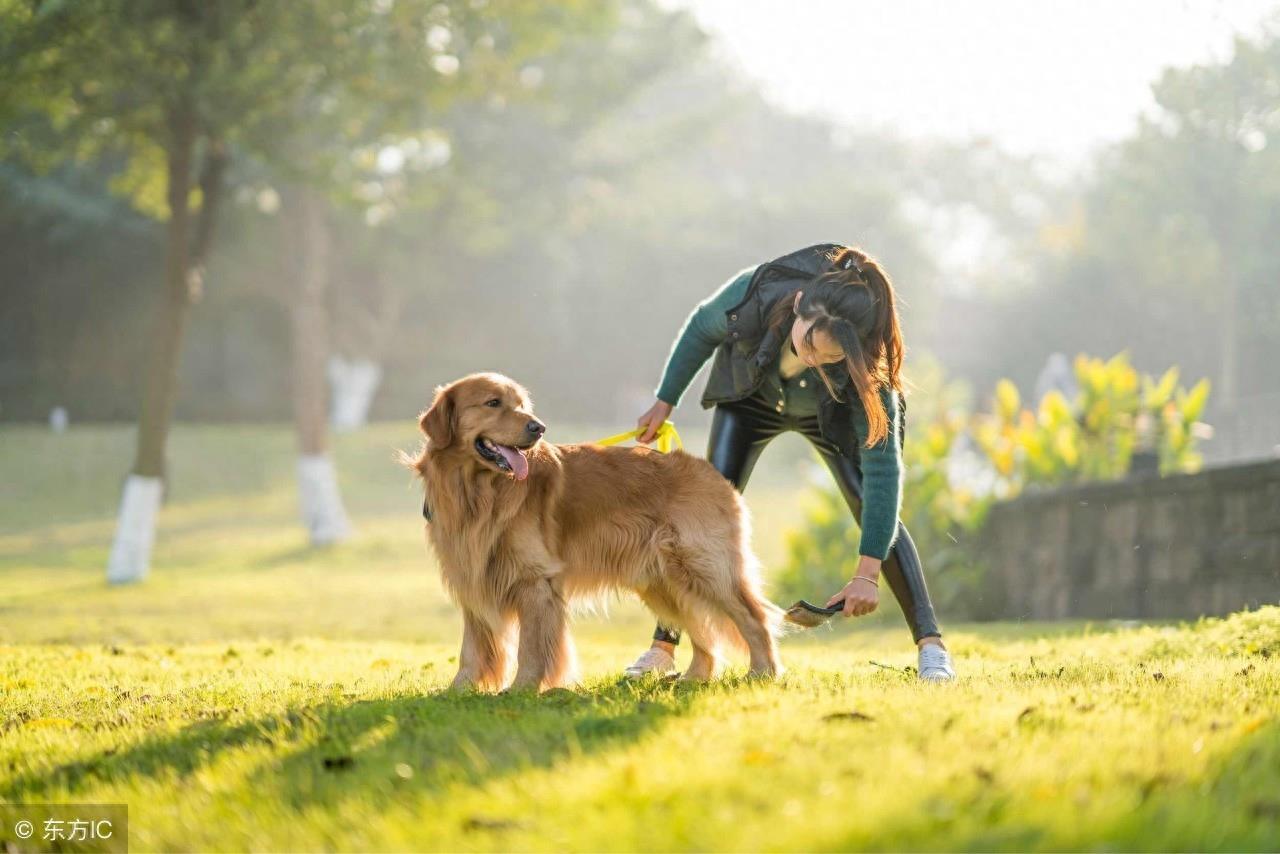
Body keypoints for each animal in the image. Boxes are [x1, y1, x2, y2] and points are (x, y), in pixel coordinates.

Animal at [404, 371, 783, 691]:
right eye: (493, 402)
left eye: (522, 405)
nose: (538, 427)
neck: (478, 492)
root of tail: (713, 473)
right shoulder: (472, 573)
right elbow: (472, 647)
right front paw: (458, 690)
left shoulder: (535, 580)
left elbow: (531, 646)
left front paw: (523, 689)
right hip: (665, 582)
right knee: (703, 631)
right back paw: (694, 677)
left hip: (704, 568)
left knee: (754, 619)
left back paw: (762, 672)